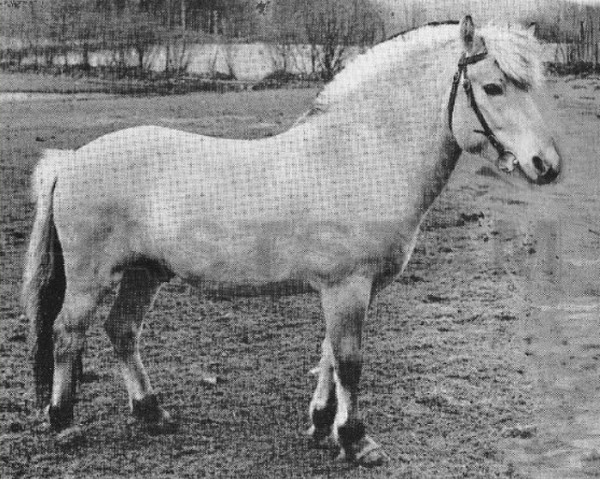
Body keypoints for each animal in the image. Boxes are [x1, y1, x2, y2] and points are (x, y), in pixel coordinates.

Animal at [21, 16, 560, 466]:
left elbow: (328, 354)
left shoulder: (347, 290)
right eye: (492, 86)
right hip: (91, 278)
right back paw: (64, 424)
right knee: (67, 334)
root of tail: (70, 161)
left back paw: (152, 413)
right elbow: (349, 361)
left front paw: (322, 426)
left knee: (122, 330)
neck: (360, 154)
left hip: (145, 272)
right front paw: (357, 441)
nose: (547, 165)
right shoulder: (346, 287)